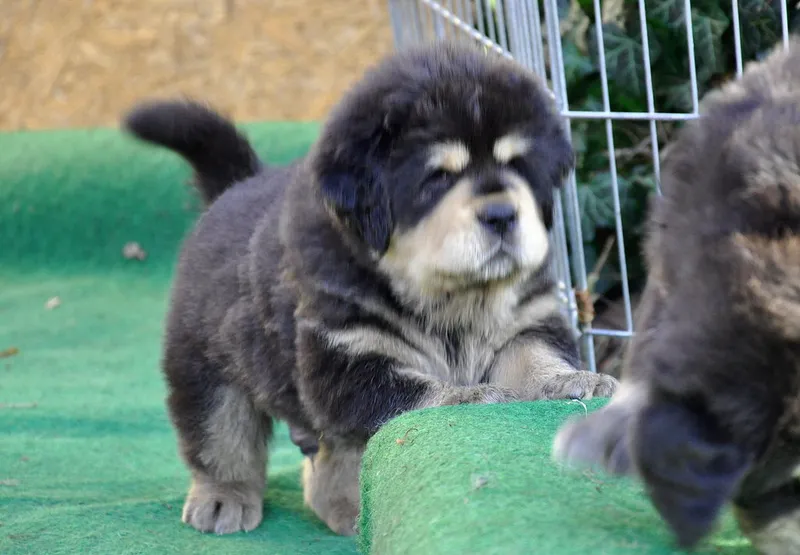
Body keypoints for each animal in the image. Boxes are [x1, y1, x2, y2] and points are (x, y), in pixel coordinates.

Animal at [122, 41, 618, 537]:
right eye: (438, 177)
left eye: (517, 166)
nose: (501, 214)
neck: (451, 297)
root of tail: (235, 186)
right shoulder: (347, 356)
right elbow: (413, 393)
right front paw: (468, 396)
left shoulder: (526, 321)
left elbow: (533, 357)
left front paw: (571, 380)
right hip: (204, 360)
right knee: (219, 432)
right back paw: (224, 498)